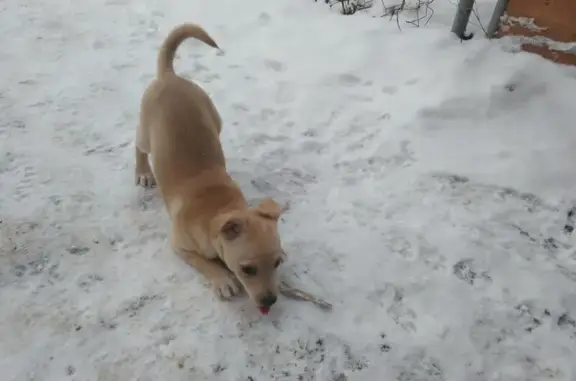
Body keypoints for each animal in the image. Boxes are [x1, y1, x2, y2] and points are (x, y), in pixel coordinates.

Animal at [137, 23, 286, 310]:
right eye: (247, 270)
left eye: (277, 263)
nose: (270, 300)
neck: (218, 207)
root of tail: (169, 76)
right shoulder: (179, 246)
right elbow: (204, 262)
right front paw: (222, 279)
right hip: (145, 132)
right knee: (138, 148)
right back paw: (142, 172)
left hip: (214, 117)